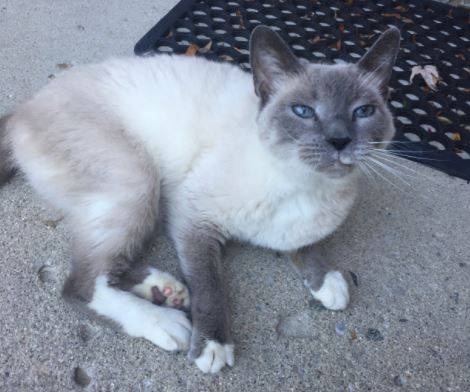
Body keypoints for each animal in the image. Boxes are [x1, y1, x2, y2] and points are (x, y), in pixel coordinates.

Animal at [0, 24, 400, 374]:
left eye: (363, 111)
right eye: (303, 111)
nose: (339, 140)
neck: (306, 187)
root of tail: (24, 109)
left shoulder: (296, 230)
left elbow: (309, 245)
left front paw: (329, 282)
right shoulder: (193, 218)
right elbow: (210, 285)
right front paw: (212, 346)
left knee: (106, 264)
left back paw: (166, 289)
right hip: (140, 179)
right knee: (81, 284)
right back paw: (167, 321)